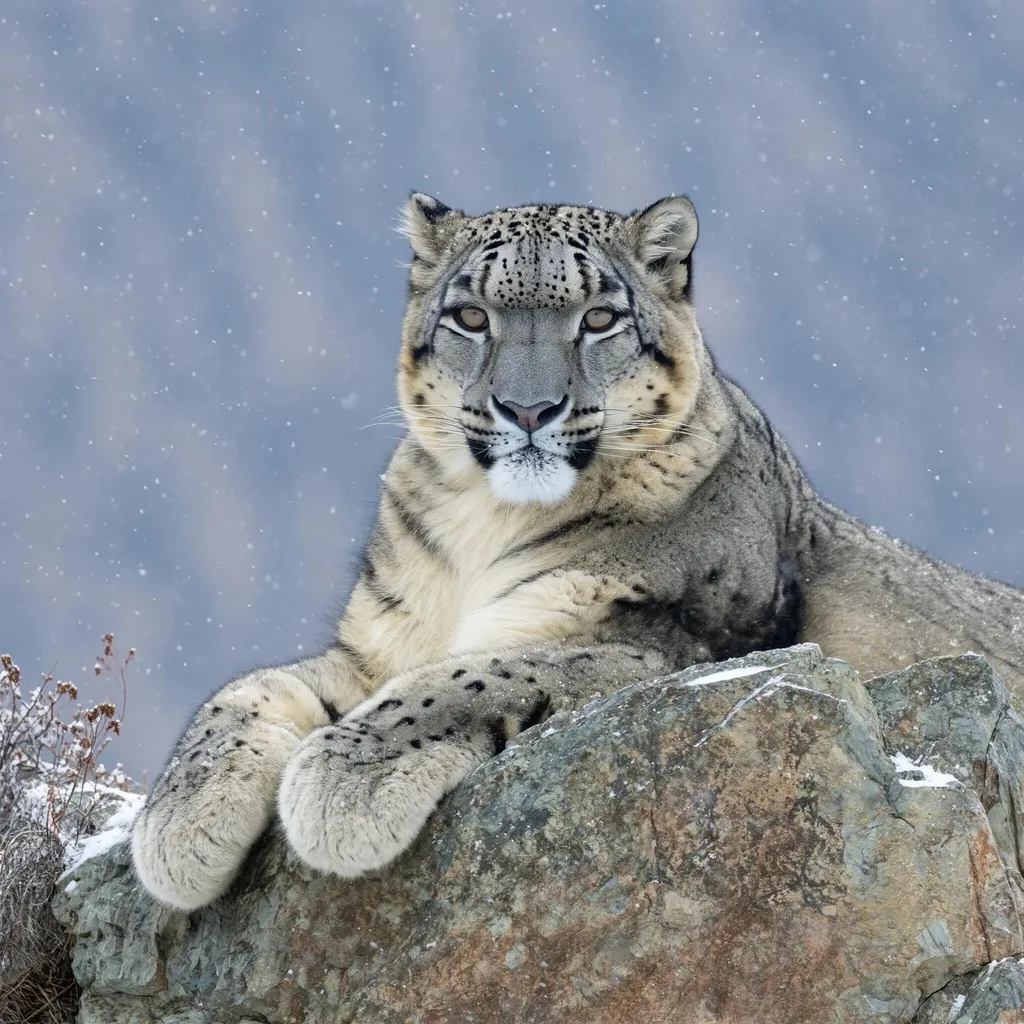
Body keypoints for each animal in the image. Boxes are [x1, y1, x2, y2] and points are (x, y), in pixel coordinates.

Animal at [132, 192, 1024, 910]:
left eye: (599, 318)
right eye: (471, 316)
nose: (529, 409)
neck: (483, 531)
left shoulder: (655, 645)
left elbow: (475, 673)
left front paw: (343, 782)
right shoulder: (375, 648)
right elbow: (246, 689)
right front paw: (178, 828)